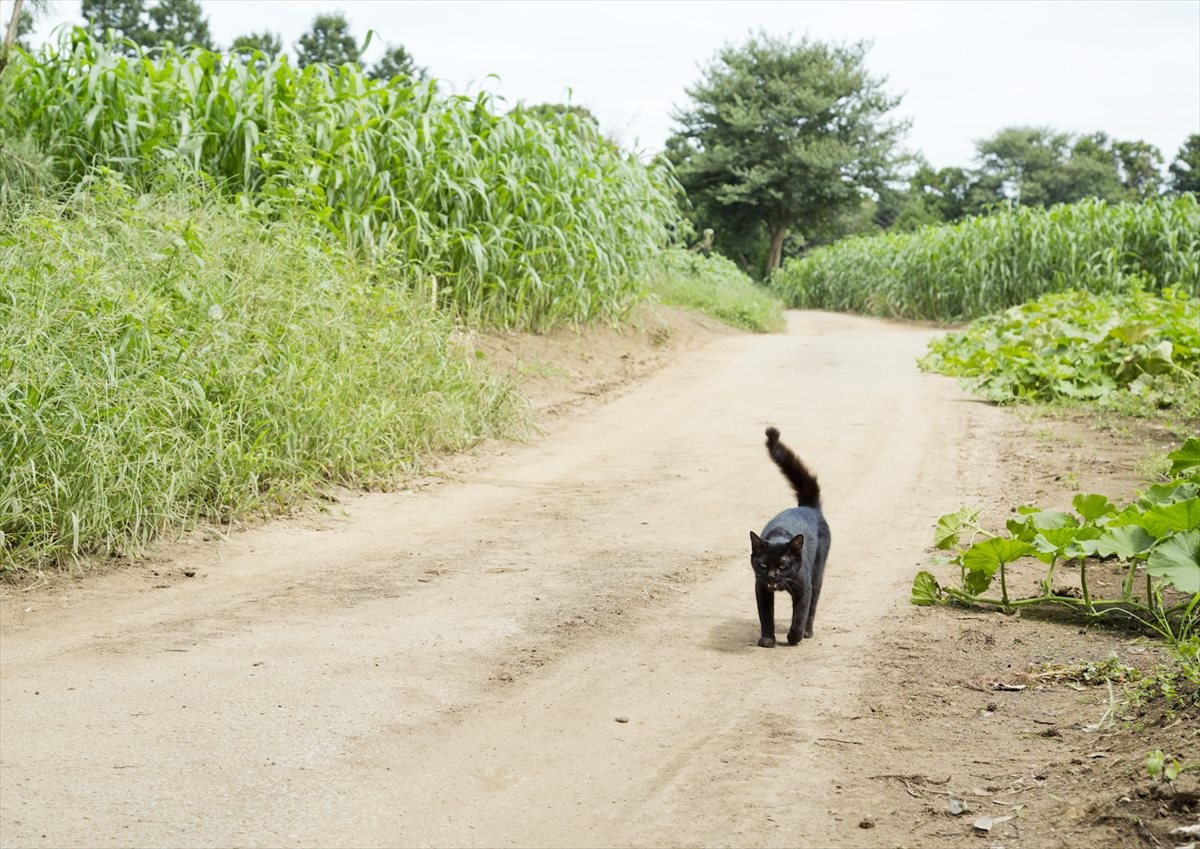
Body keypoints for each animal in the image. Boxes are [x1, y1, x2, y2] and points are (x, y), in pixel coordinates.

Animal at [748, 426, 835, 647]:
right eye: (763, 564)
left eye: (783, 564)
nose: (772, 575)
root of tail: (807, 507)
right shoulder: (761, 587)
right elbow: (766, 615)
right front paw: (767, 639)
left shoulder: (804, 587)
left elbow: (799, 616)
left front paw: (794, 637)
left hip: (818, 572)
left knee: (812, 606)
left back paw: (808, 632)